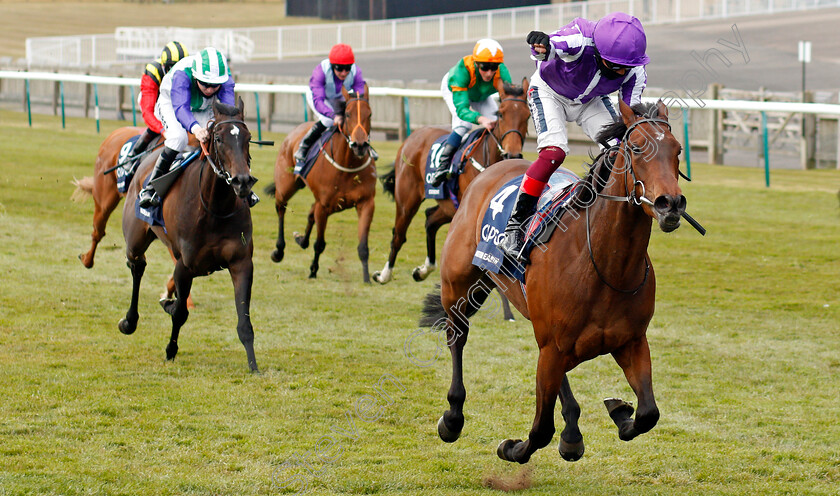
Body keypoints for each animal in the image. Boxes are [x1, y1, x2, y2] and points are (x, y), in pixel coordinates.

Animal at [116, 100, 258, 372]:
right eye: (219, 139)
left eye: (248, 137)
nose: (242, 181)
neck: (214, 208)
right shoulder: (185, 266)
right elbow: (181, 313)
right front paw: (171, 350)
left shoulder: (242, 263)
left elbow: (244, 321)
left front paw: (254, 366)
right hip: (136, 238)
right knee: (137, 266)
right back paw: (129, 321)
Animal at [270, 83, 376, 280]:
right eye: (348, 114)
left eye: (370, 114)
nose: (360, 145)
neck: (347, 164)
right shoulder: (324, 206)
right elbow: (319, 243)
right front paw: (313, 271)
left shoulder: (366, 203)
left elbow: (363, 247)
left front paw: (367, 278)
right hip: (286, 185)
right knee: (281, 207)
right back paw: (279, 251)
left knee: (310, 213)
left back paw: (301, 240)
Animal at [374, 78, 532, 286]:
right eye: (501, 113)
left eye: (527, 115)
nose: (512, 154)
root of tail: (413, 136)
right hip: (407, 200)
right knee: (399, 235)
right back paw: (384, 274)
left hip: (449, 206)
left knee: (430, 219)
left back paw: (423, 270)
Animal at [424, 99, 684, 464]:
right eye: (636, 148)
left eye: (677, 151)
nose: (670, 203)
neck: (603, 265)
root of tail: (493, 169)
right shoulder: (554, 347)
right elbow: (540, 429)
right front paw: (511, 448)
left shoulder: (630, 342)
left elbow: (648, 413)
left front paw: (620, 412)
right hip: (459, 285)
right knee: (456, 335)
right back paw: (452, 417)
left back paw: (572, 433)